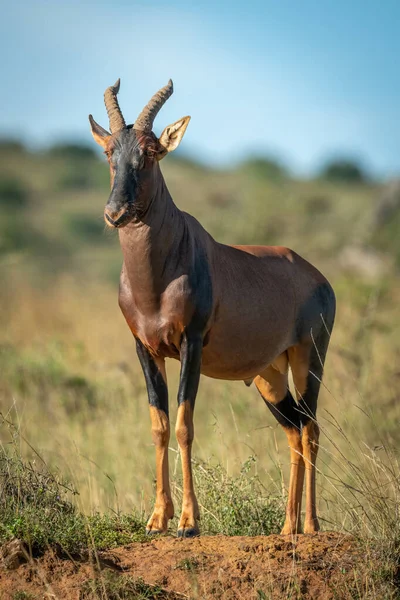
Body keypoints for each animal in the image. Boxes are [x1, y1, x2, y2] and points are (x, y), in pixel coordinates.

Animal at [90, 78, 334, 536]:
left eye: (151, 152)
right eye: (109, 151)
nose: (115, 213)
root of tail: (319, 278)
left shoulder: (192, 344)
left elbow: (184, 425)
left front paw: (188, 522)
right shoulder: (145, 349)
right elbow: (159, 425)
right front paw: (157, 518)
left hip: (309, 358)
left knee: (311, 427)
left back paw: (311, 525)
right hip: (270, 376)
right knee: (294, 430)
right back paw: (287, 527)